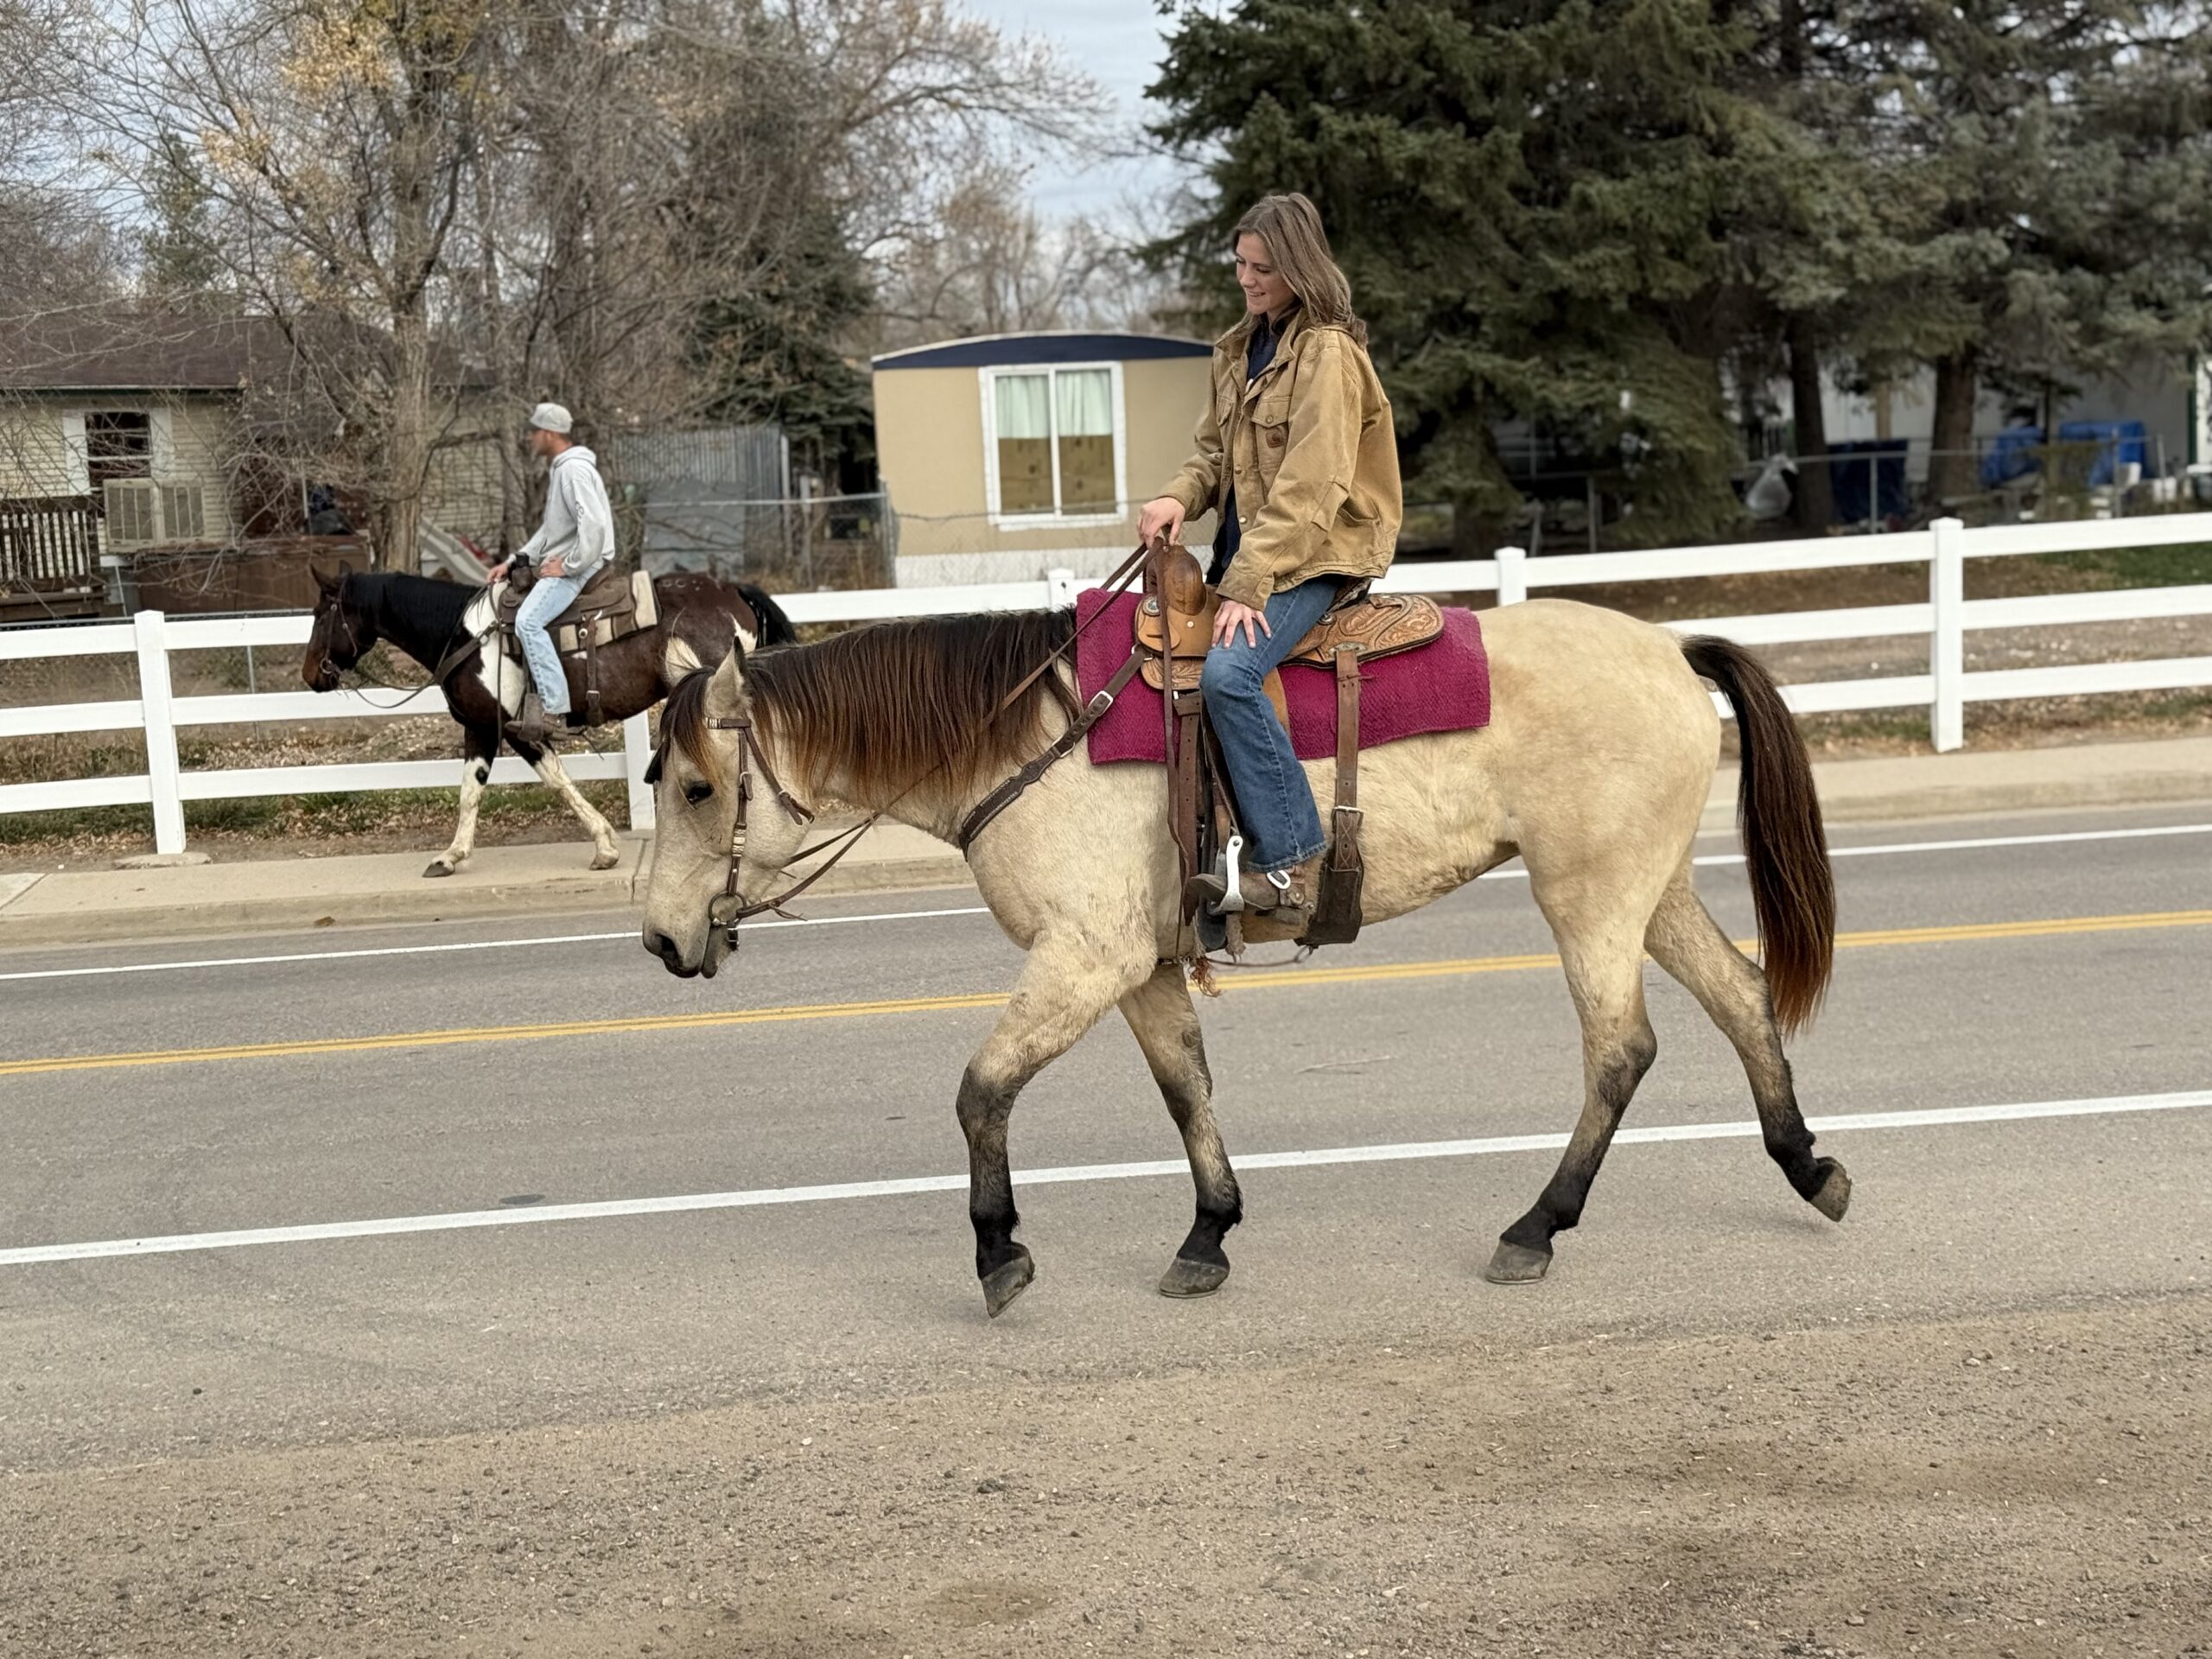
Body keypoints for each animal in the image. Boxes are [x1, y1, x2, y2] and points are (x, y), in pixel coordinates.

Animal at [303, 564, 796, 878]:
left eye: (321, 613)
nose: (310, 675)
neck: (464, 639)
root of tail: (730, 591)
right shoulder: (478, 728)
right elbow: (471, 791)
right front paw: (451, 856)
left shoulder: (512, 730)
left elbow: (551, 780)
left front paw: (605, 847)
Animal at [636, 597, 1848, 1319]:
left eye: (695, 786)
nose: (658, 937)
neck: (1029, 738)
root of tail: (1670, 647)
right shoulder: (1138, 968)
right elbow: (1186, 1089)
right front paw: (1208, 1234)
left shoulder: (1082, 959)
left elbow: (982, 1092)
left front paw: (997, 1255)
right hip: (1648, 891)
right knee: (1740, 997)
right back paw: (1807, 1166)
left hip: (1589, 898)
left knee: (1619, 1050)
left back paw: (1534, 1227)